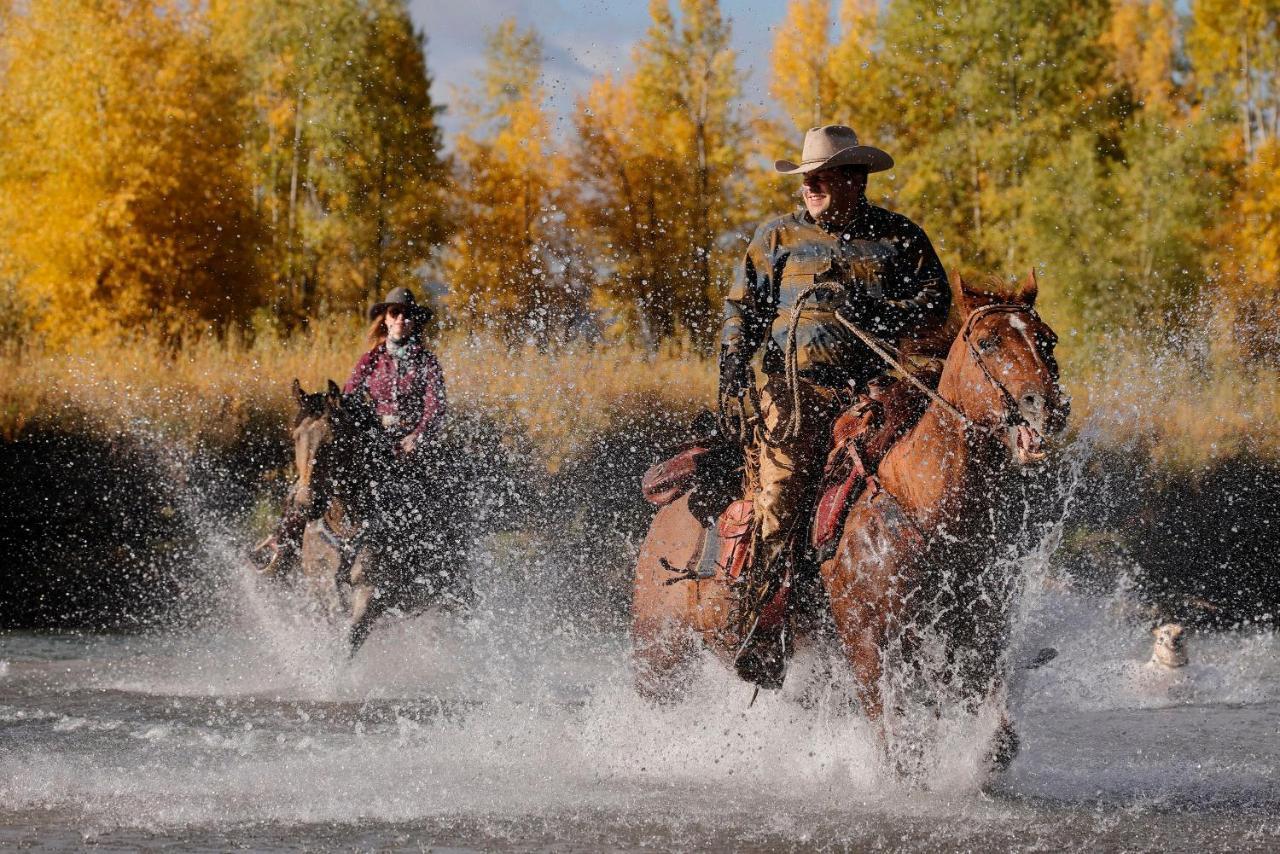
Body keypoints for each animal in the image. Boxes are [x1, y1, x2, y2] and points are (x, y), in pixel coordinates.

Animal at [632, 277, 1070, 763]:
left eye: (1047, 339)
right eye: (989, 341)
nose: (1047, 406)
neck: (925, 505)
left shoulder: (975, 640)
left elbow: (996, 737)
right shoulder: (869, 648)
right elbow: (897, 744)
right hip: (660, 656)